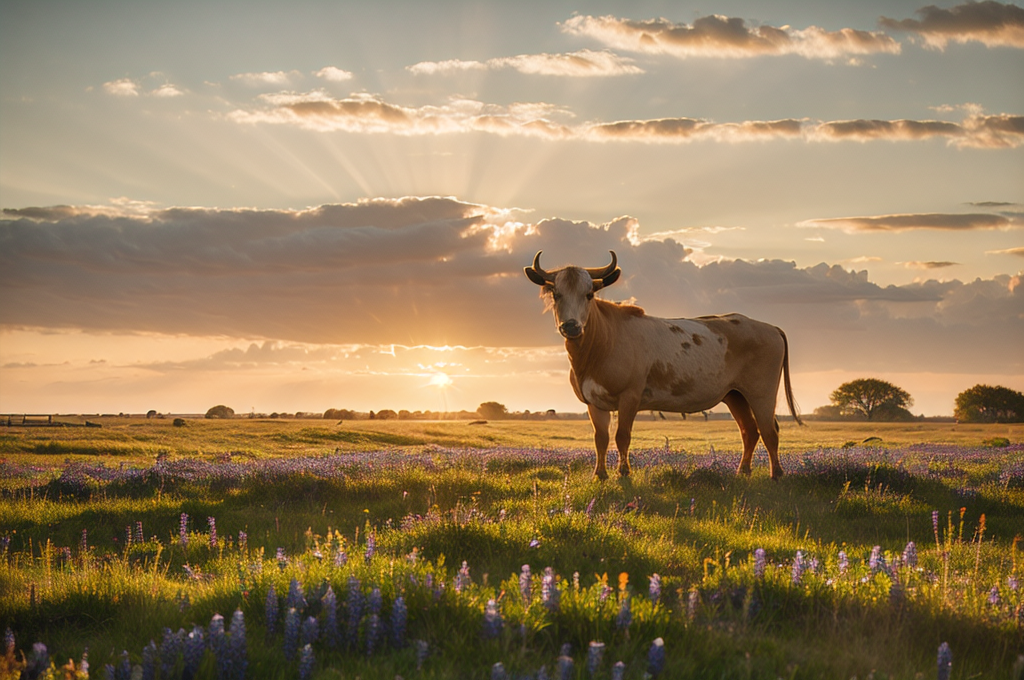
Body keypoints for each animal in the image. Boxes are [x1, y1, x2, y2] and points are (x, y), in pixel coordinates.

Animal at [524, 251, 802, 481]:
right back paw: (742, 471)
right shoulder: (593, 401)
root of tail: (768, 327)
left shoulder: (630, 396)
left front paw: (624, 472)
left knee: (769, 430)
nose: (571, 326)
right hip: (734, 395)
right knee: (749, 430)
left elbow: (622, 436)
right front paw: (599, 474)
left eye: (589, 294)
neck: (598, 348)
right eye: (556, 294)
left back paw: (776, 475)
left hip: (762, 392)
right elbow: (600, 439)